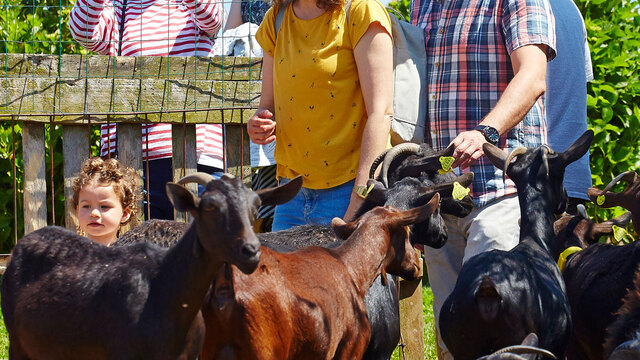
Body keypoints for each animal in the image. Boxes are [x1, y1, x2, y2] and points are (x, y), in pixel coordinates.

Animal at [440, 130, 596, 360]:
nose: (566, 199)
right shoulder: (557, 347)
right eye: (561, 173)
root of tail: (487, 290)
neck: (535, 242)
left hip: (463, 346)